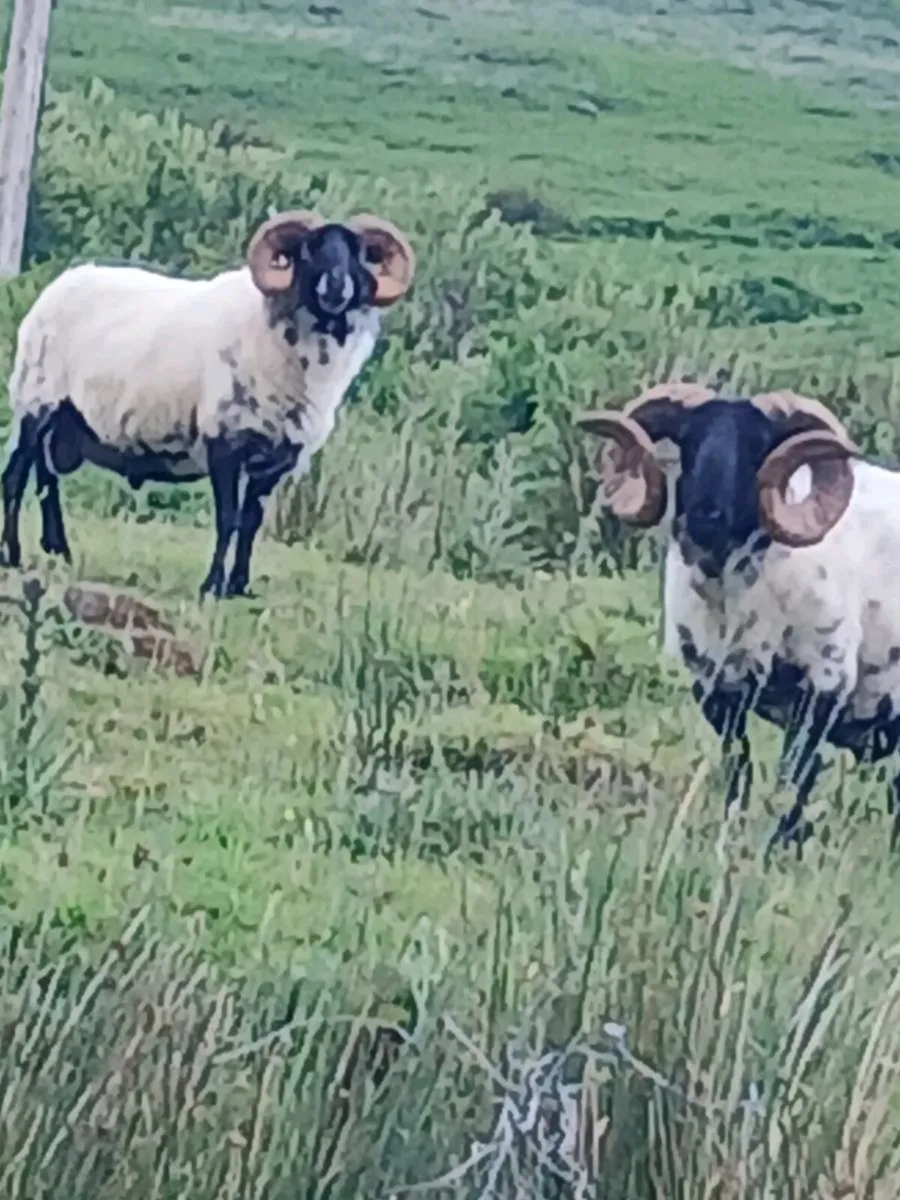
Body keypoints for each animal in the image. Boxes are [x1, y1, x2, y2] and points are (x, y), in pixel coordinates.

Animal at [1, 209, 415, 598]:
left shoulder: (276, 458)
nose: (336, 287)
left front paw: (239, 587)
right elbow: (228, 518)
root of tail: (54, 289)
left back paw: (59, 551)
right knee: (17, 476)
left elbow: (251, 522)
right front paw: (212, 586)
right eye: (309, 250)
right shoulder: (225, 442)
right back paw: (13, 554)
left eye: (359, 254)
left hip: (64, 422)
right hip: (37, 403)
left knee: (47, 477)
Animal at [575, 381, 900, 855]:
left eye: (758, 445)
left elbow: (791, 785)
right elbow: (739, 776)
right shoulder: (718, 694)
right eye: (688, 439)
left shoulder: (822, 691)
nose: (706, 516)